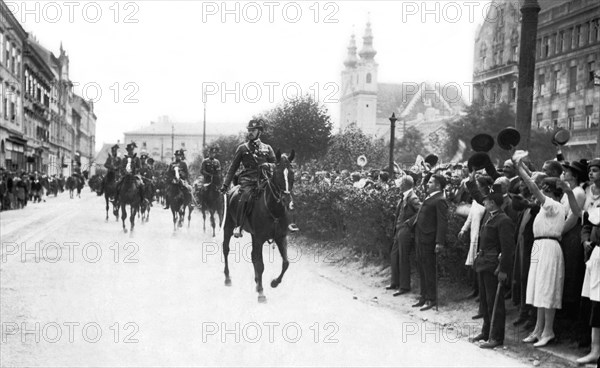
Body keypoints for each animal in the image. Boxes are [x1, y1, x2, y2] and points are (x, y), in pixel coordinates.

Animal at [223, 148, 296, 304]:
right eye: (277, 173)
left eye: (292, 174)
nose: (287, 200)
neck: (273, 210)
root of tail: (233, 188)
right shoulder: (259, 239)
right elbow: (260, 264)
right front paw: (262, 293)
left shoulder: (281, 238)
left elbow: (286, 263)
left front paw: (274, 282)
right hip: (228, 225)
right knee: (226, 249)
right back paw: (227, 278)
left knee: (252, 256)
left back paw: (256, 283)